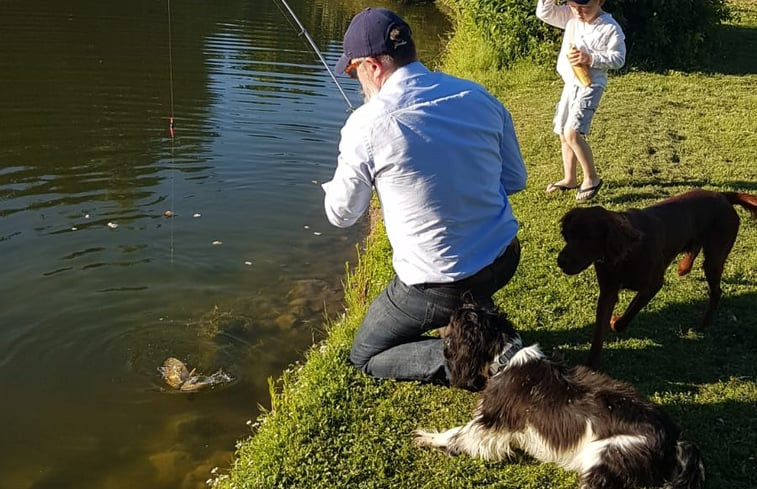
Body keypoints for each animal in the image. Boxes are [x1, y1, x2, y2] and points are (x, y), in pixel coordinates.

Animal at [414, 302, 704, 488]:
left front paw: (428, 437)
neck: (506, 359)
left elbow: (457, 434)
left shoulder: (489, 424)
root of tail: (675, 441)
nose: (438, 321)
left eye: (452, 320)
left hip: (606, 455)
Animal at [556, 189, 756, 368]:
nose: (560, 261)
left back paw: (704, 323)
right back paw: (683, 268)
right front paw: (591, 365)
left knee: (716, 291)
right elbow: (598, 333)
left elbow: (627, 314)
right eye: (568, 235)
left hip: (714, 259)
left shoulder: (653, 284)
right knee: (694, 249)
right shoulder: (608, 292)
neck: (626, 253)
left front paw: (615, 321)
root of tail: (722, 195)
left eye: (588, 238)